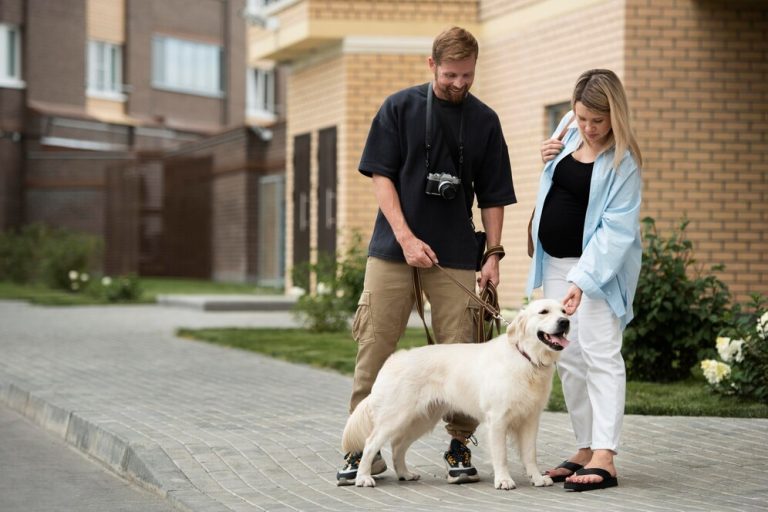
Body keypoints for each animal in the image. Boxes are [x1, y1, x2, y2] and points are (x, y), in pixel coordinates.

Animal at [342, 298, 568, 490]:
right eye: (544, 312)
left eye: (564, 311)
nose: (565, 322)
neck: (527, 358)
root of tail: (392, 360)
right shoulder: (497, 419)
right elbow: (501, 455)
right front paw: (504, 480)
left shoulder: (531, 418)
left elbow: (530, 454)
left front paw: (537, 478)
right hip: (395, 416)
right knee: (370, 443)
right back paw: (363, 477)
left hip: (420, 419)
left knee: (398, 445)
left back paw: (405, 474)